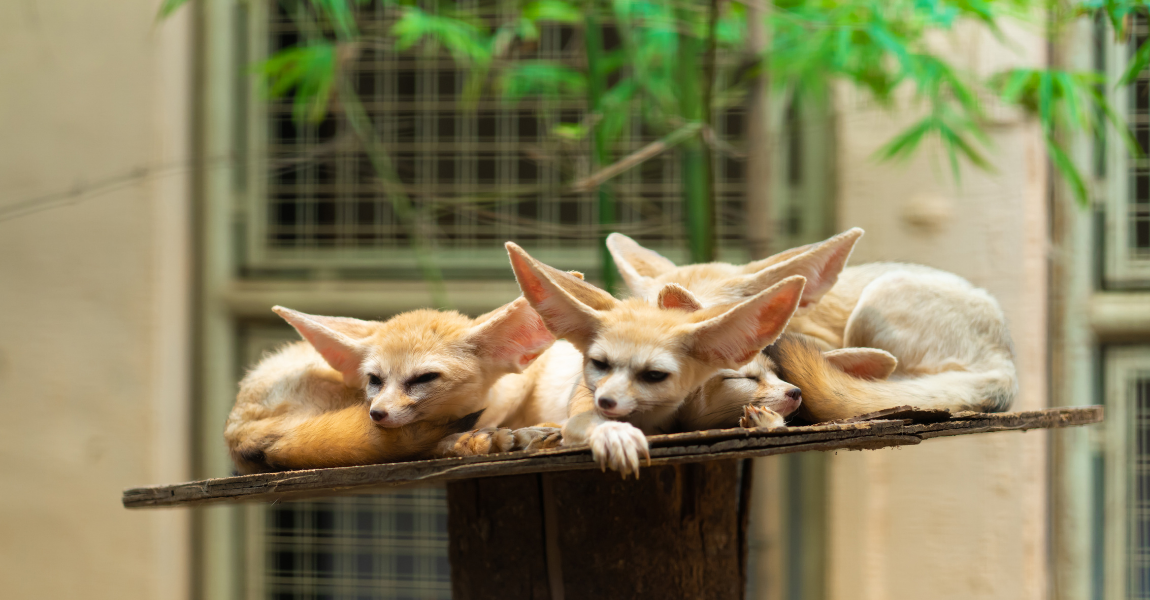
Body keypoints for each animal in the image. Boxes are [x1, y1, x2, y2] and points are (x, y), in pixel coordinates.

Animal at [503, 240, 809, 473]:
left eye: (654, 375)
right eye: (600, 364)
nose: (796, 392)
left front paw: (764, 421)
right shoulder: (581, 406)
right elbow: (586, 422)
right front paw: (613, 434)